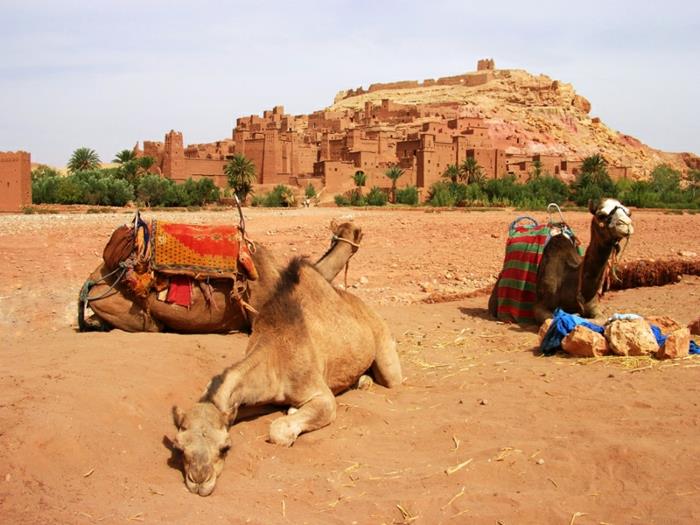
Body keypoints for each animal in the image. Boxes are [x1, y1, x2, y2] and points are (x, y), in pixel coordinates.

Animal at [171, 256, 404, 494]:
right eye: (180, 448)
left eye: (225, 447)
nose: (199, 480)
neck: (276, 355)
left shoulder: (321, 395)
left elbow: (280, 429)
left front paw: (290, 426)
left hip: (384, 346)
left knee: (391, 378)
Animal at [486, 198, 636, 324]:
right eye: (601, 215)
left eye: (628, 213)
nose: (626, 225)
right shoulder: (540, 306)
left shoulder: (594, 306)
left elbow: (600, 318)